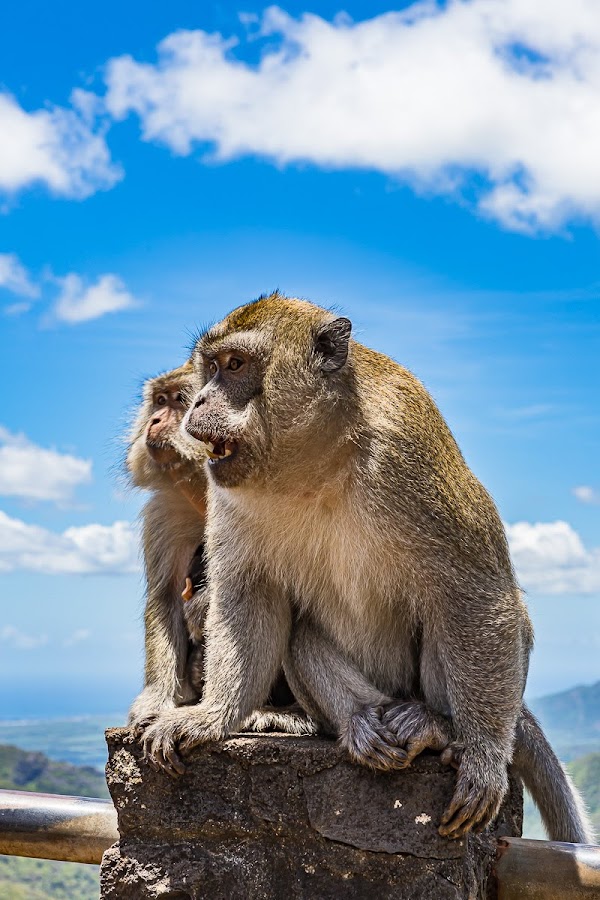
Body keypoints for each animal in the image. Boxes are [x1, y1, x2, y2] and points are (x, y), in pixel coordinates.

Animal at [143, 296, 592, 844]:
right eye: (209, 369)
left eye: (234, 365)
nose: (200, 404)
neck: (312, 464)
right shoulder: (227, 490)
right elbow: (248, 595)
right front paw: (210, 717)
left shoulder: (407, 450)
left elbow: (479, 595)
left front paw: (484, 758)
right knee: (301, 631)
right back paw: (361, 721)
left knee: (451, 614)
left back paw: (438, 728)